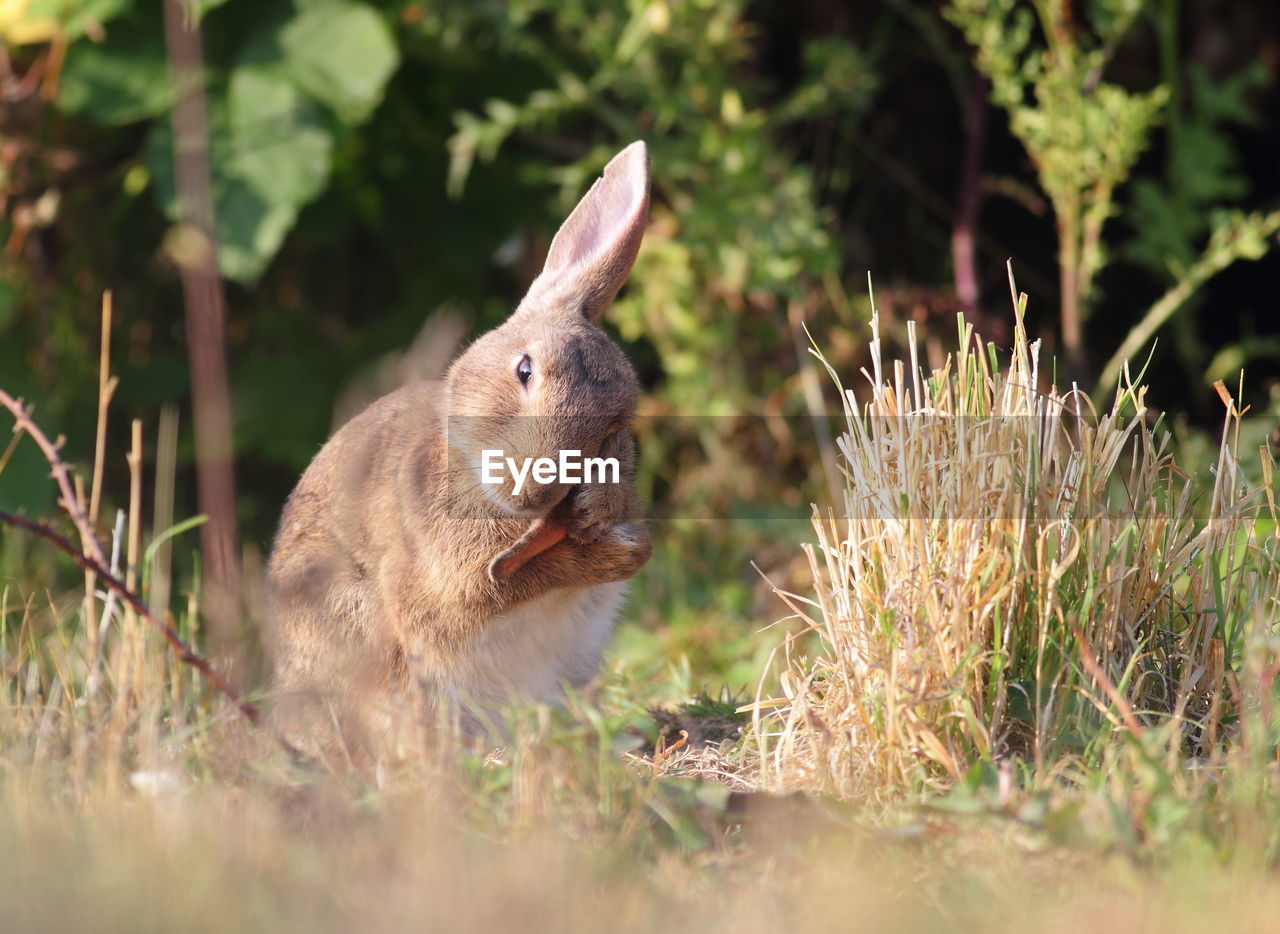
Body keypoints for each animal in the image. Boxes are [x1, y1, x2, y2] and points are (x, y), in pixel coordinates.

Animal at [266, 140, 655, 747]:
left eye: (614, 429)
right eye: (524, 370)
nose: (536, 489)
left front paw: (607, 521)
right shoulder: (444, 585)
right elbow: (496, 587)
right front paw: (613, 549)